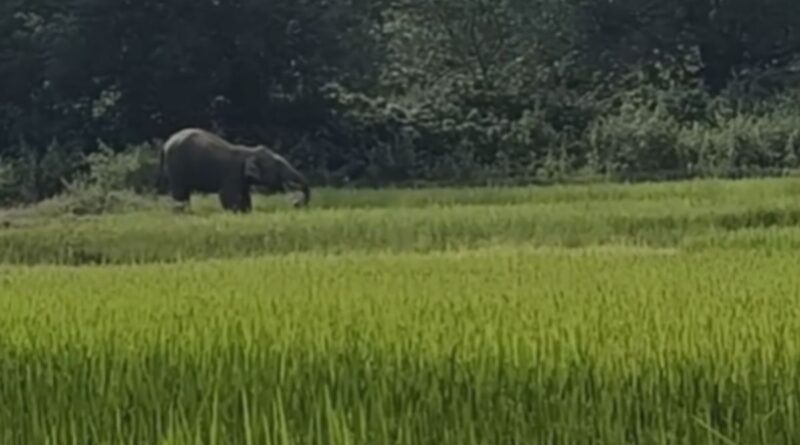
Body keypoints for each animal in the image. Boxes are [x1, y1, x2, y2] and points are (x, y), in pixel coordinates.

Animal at [159, 127, 310, 212]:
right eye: (278, 164)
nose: (296, 204)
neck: (249, 151)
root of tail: (165, 145)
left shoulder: (242, 179)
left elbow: (245, 196)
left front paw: (246, 212)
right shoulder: (232, 174)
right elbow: (227, 196)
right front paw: (235, 212)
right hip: (176, 167)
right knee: (180, 192)